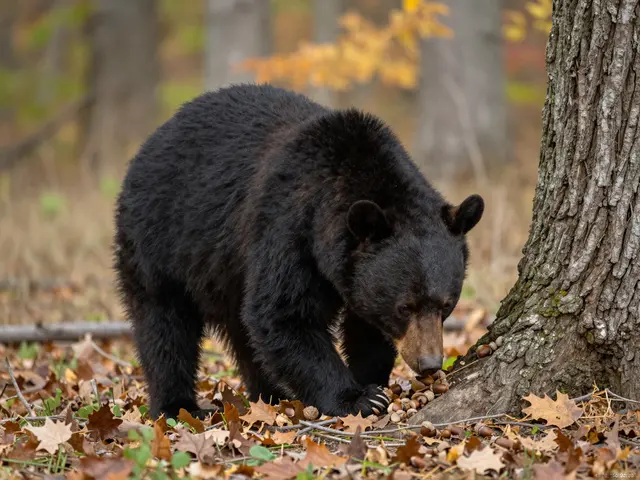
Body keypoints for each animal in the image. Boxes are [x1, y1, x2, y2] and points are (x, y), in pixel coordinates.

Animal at [113, 83, 484, 420]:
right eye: (404, 307)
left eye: (446, 304)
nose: (429, 363)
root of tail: (151, 141)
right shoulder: (289, 228)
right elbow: (283, 314)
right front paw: (359, 398)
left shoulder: (353, 267)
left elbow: (363, 325)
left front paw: (371, 379)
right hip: (159, 239)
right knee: (164, 323)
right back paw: (178, 406)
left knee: (241, 330)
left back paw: (269, 395)